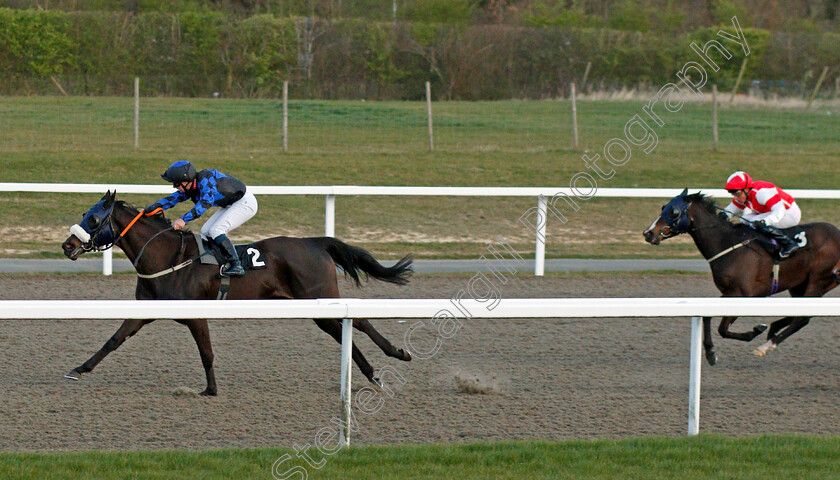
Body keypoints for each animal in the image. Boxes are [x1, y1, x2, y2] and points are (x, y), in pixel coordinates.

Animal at [644, 189, 840, 366]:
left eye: (674, 212)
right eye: (663, 207)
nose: (648, 233)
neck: (727, 243)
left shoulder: (741, 293)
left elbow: (723, 329)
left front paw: (755, 331)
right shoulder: (732, 293)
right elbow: (709, 318)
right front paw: (710, 352)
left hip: (818, 280)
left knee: (802, 318)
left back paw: (766, 345)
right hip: (800, 284)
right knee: (799, 314)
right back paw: (773, 329)